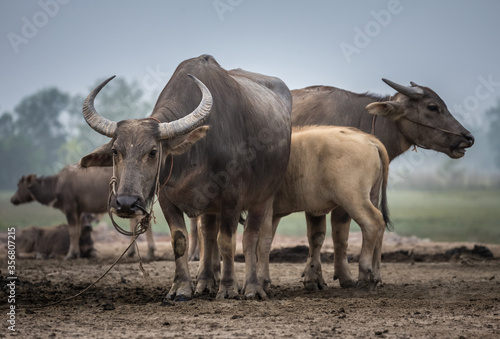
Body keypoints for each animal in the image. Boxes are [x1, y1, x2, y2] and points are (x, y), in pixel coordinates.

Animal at [10, 167, 154, 260]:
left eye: (19, 186)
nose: (13, 199)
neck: (56, 186)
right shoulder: (79, 210)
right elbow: (78, 231)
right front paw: (77, 253)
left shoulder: (70, 207)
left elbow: (72, 231)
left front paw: (70, 255)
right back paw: (132, 252)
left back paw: (150, 252)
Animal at [77, 54, 290, 302]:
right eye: (115, 151)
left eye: (153, 152)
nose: (126, 203)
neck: (197, 152)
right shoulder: (168, 199)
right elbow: (180, 240)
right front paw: (181, 287)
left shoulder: (232, 199)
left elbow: (227, 242)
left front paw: (228, 288)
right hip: (210, 207)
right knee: (208, 234)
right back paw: (205, 282)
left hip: (263, 197)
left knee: (252, 238)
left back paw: (254, 286)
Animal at [258, 126, 390, 290]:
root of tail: (368, 139)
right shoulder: (273, 215)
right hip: (372, 195)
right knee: (380, 223)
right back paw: (375, 275)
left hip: (353, 199)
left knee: (372, 222)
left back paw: (365, 273)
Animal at [292, 79, 474, 290]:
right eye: (432, 107)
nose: (468, 137)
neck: (361, 118)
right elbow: (319, 235)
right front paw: (315, 278)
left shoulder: (357, 194)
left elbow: (345, 234)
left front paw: (356, 276)